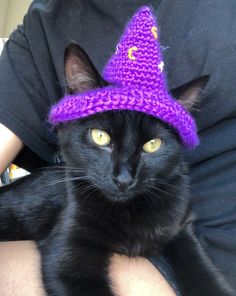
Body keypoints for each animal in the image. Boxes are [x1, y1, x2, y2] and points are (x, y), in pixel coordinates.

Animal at [0, 44, 233, 296]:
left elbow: (203, 271)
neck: (129, 212)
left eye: (152, 145)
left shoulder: (180, 230)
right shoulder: (68, 248)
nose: (123, 179)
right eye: (100, 137)